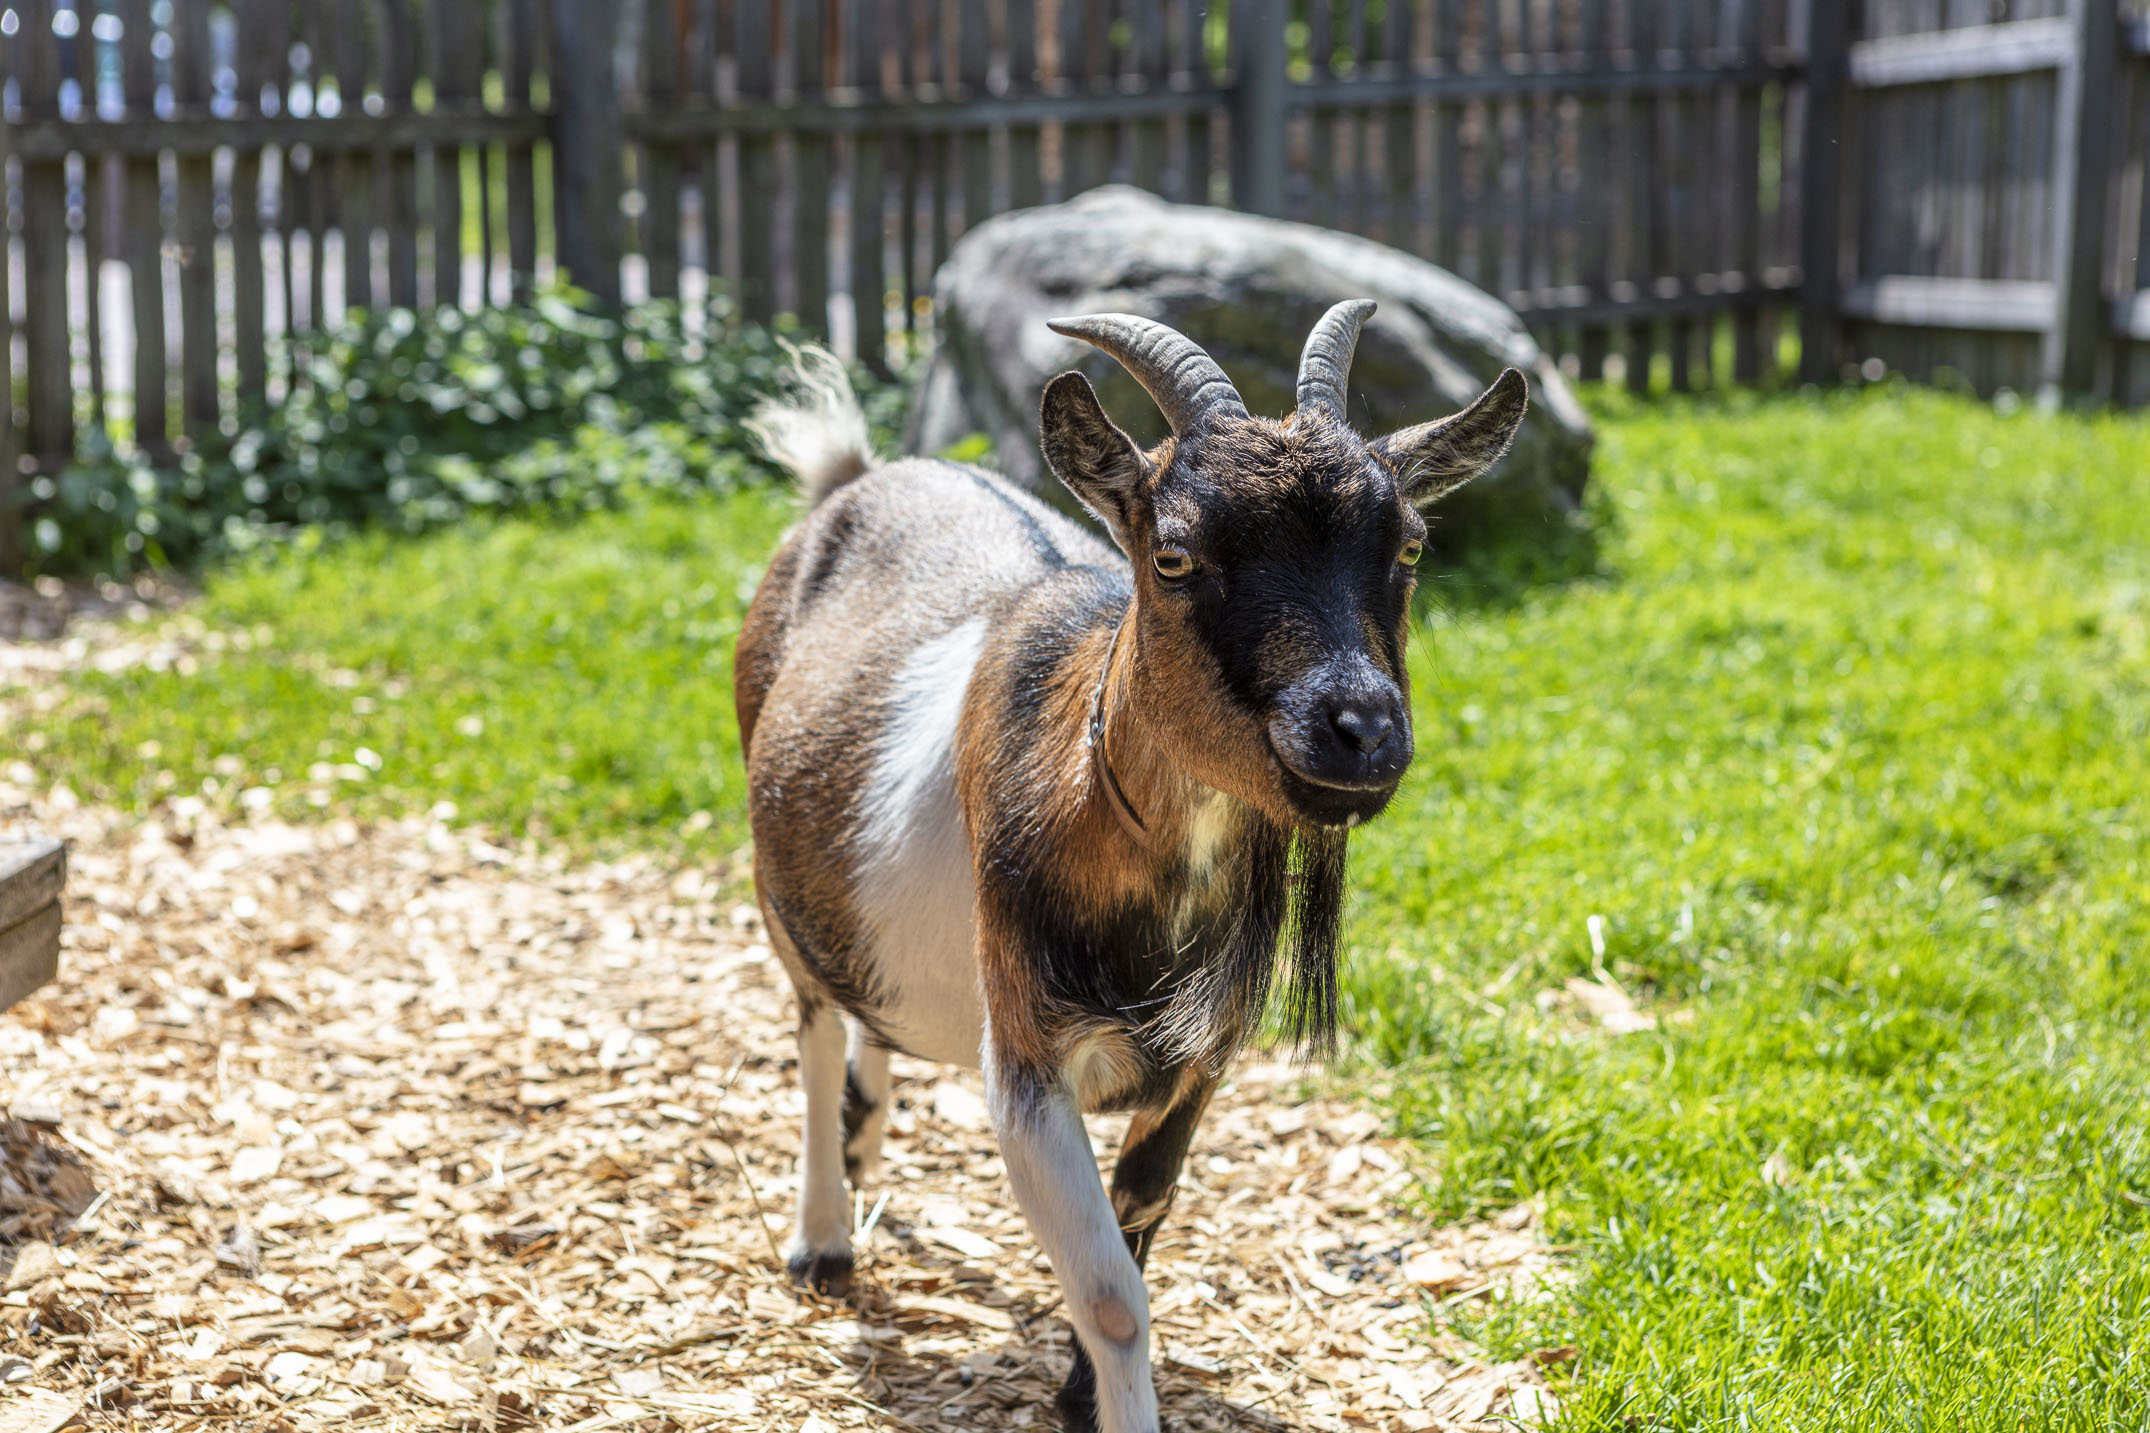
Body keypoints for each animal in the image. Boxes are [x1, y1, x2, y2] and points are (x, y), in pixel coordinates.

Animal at [736, 304, 1527, 1433]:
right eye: (1174, 556)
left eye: (1410, 546)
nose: (1361, 731)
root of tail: (850, 479)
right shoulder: (1025, 1064)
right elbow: (1112, 1293)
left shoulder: (1202, 1053)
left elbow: (1142, 1208)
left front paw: (1074, 1392)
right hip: (776, 885)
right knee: (806, 1027)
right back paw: (822, 1237)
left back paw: (862, 1133)